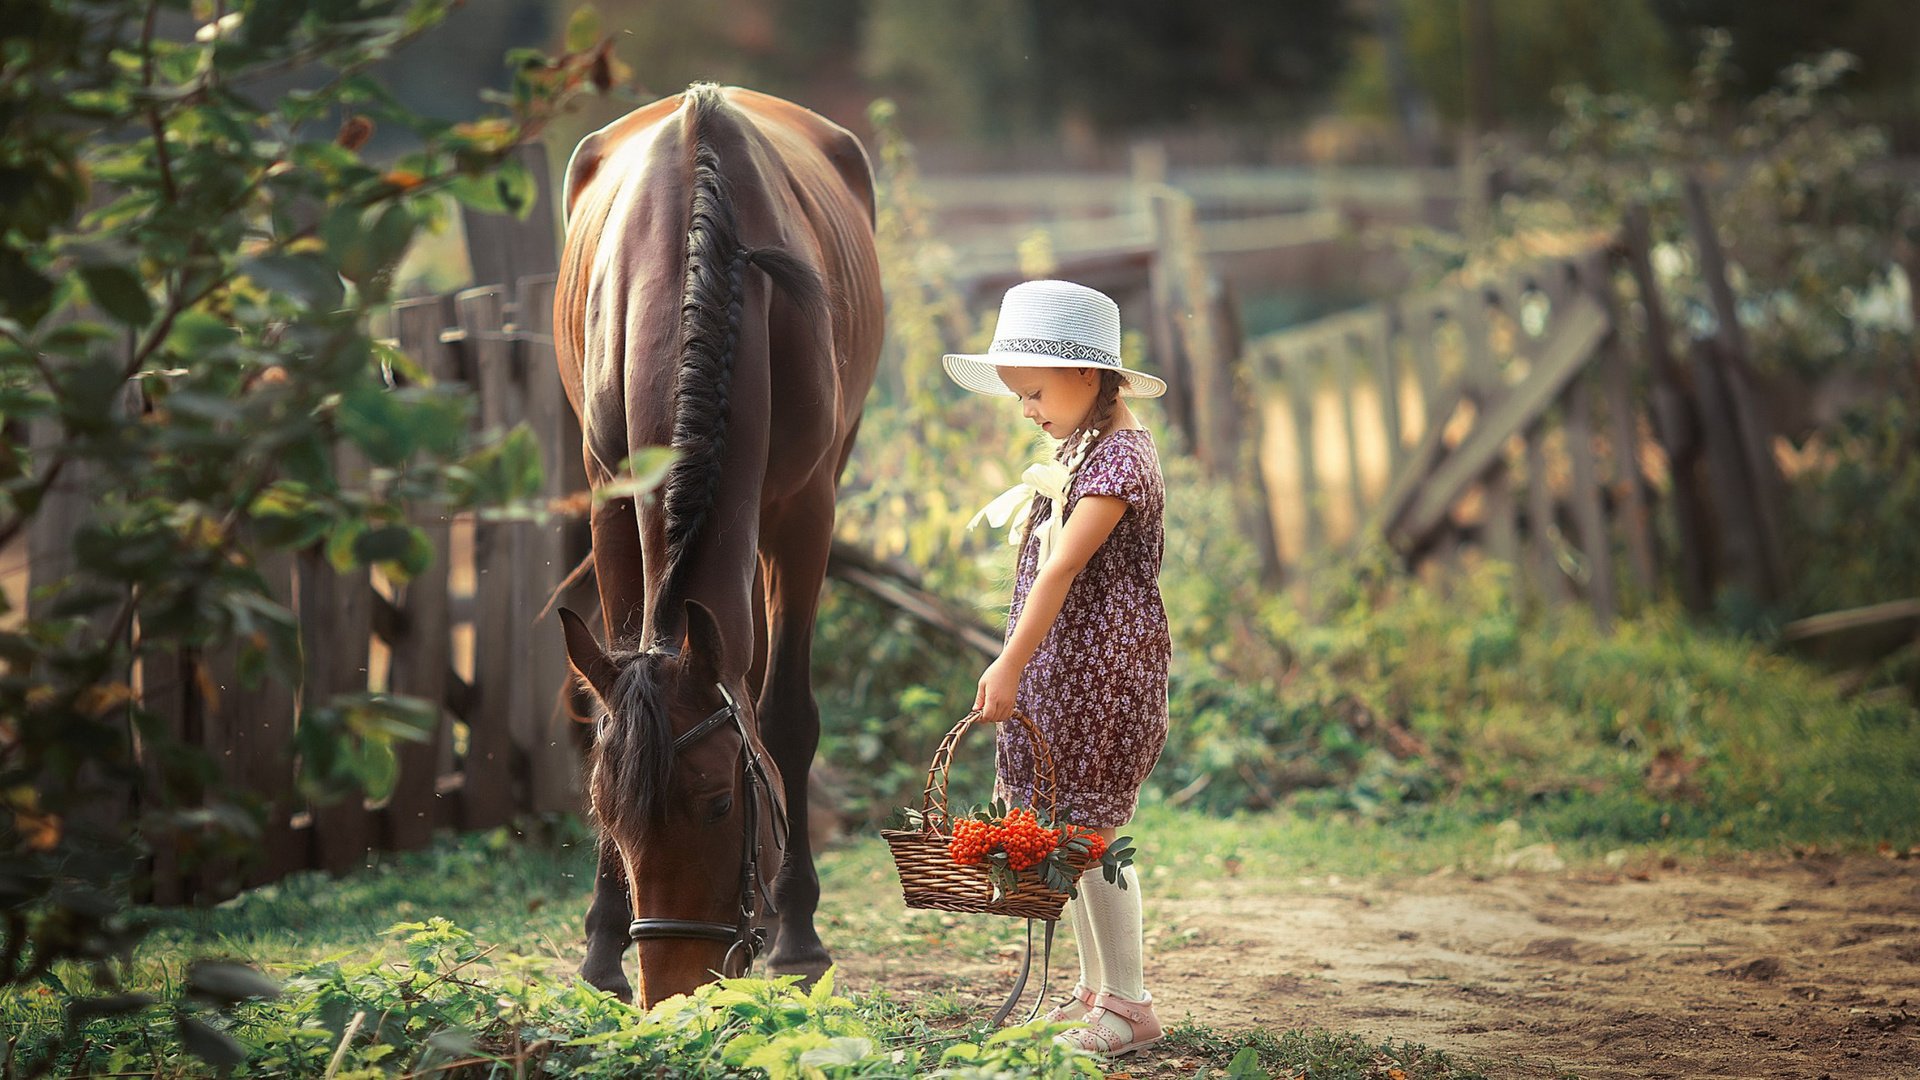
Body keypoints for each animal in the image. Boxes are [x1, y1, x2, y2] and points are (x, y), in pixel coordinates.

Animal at [552, 84, 879, 999]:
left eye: (720, 806)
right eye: (607, 812)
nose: (673, 988)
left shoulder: (806, 512)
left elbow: (785, 716)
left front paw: (797, 935)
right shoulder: (610, 498)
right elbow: (611, 700)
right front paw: (602, 944)